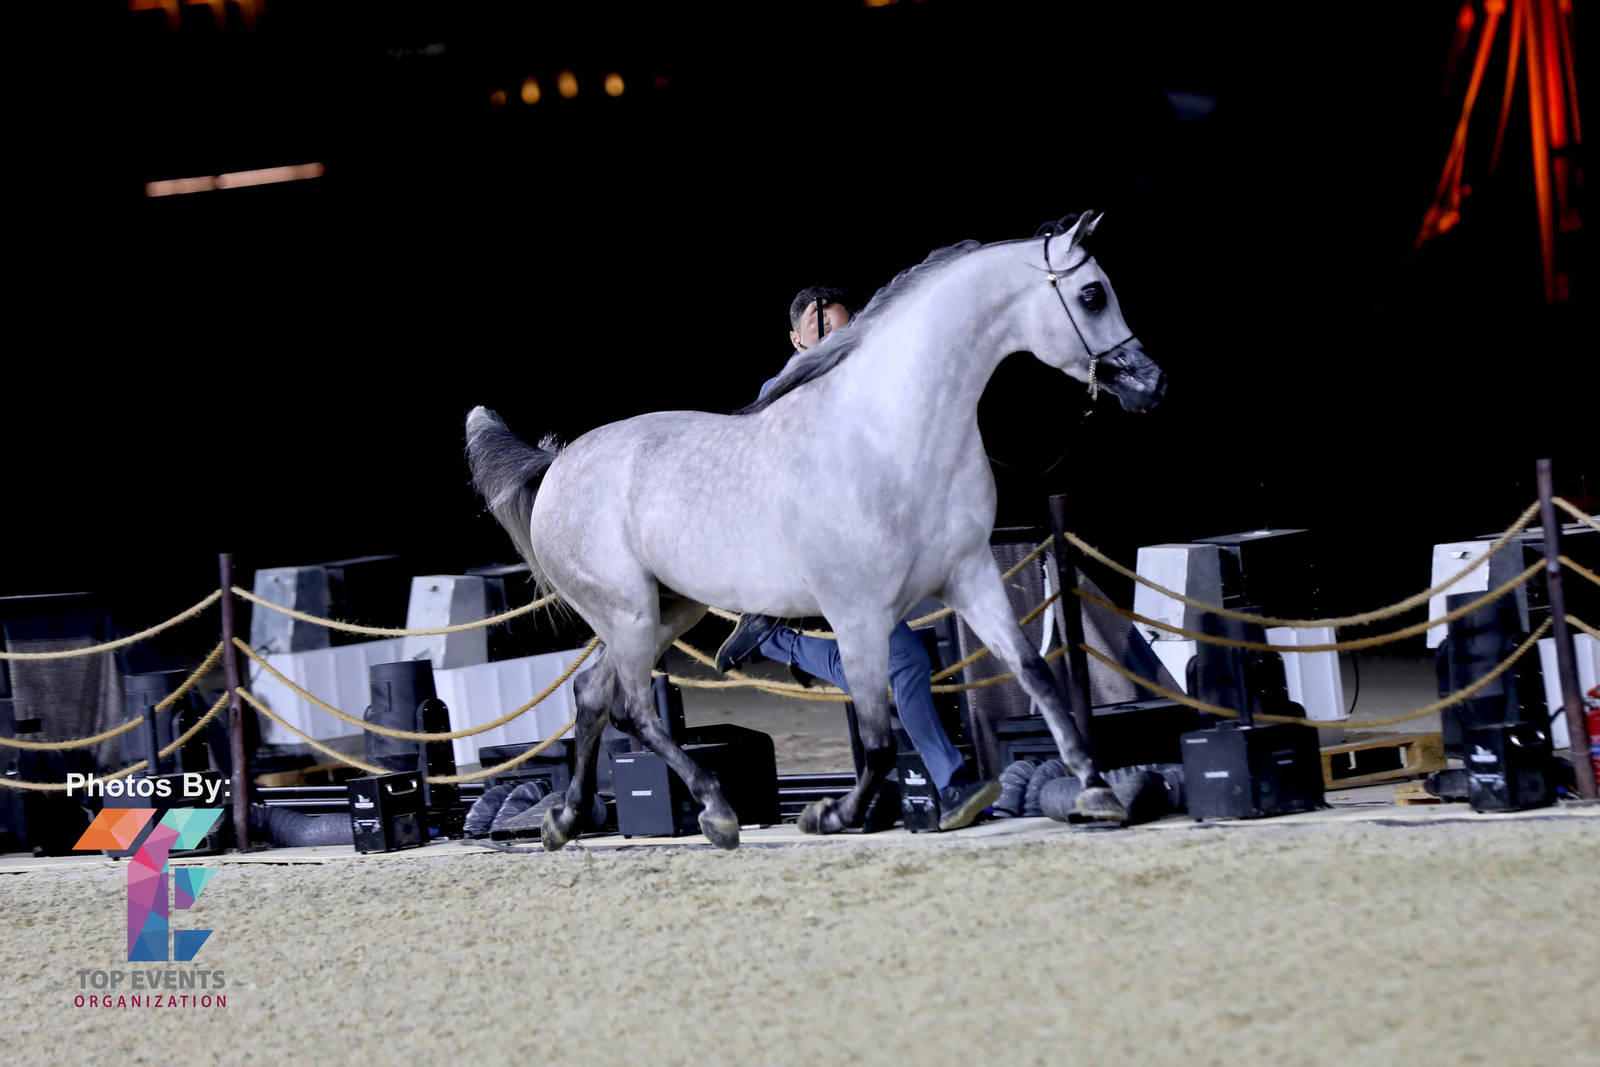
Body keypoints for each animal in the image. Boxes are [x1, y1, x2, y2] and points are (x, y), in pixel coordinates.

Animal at [466, 211, 1166, 851]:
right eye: (1092, 294)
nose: (1151, 384)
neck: (890, 432)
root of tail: (555, 466)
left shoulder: (970, 577)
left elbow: (1036, 675)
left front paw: (1096, 793)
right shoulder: (857, 612)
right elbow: (878, 738)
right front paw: (829, 815)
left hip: (667, 610)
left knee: (591, 694)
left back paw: (565, 821)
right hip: (629, 613)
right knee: (632, 709)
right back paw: (716, 813)